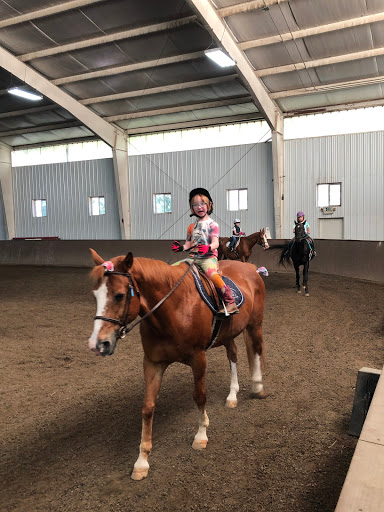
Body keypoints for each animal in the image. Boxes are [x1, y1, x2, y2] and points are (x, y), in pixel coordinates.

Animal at [89, 250, 268, 482]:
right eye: (95, 296)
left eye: (119, 295)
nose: (98, 344)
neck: (173, 309)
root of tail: (250, 268)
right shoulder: (153, 363)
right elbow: (148, 407)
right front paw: (142, 461)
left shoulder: (198, 358)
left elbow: (199, 396)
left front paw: (201, 435)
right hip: (228, 333)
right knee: (233, 355)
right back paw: (232, 395)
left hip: (255, 324)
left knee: (256, 349)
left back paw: (258, 387)